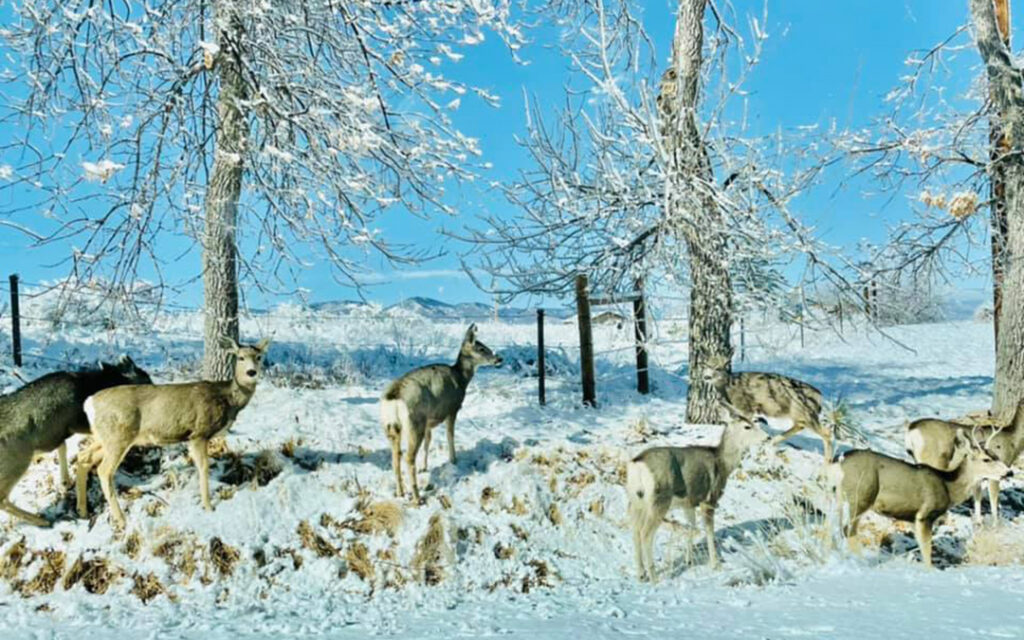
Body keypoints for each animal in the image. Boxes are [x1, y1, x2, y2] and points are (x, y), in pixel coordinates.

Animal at [0, 356, 151, 527]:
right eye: (146, 380)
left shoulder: (57, 432)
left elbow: (63, 446)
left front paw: (66, 481)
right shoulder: (82, 424)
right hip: (16, 461)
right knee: (2, 498)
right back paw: (42, 520)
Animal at [77, 337, 269, 529]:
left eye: (259, 357)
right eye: (240, 357)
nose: (252, 372)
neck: (228, 399)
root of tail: (89, 403)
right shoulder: (199, 433)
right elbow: (203, 467)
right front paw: (208, 506)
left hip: (104, 437)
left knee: (83, 457)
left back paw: (83, 511)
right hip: (118, 436)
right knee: (103, 470)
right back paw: (122, 520)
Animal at [380, 324, 503, 504]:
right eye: (481, 348)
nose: (499, 359)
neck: (461, 379)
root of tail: (394, 397)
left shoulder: (429, 421)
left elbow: (428, 443)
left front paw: (425, 467)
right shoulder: (452, 408)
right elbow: (450, 435)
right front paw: (453, 460)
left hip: (391, 426)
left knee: (395, 457)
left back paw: (400, 492)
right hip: (414, 422)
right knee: (408, 458)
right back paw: (417, 497)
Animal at [625, 407, 769, 582]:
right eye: (747, 426)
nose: (767, 437)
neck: (723, 464)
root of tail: (637, 464)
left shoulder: (689, 502)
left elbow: (691, 527)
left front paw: (689, 560)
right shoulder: (709, 499)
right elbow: (709, 531)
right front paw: (715, 564)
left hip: (636, 501)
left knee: (634, 530)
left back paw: (641, 573)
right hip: (659, 500)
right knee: (645, 533)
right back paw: (654, 577)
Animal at [827, 439, 1011, 567]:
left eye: (997, 456)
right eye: (986, 459)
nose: (1009, 472)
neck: (949, 487)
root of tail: (837, 462)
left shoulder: (913, 519)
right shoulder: (925, 514)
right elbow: (927, 549)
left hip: (838, 496)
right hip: (862, 495)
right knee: (848, 530)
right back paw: (861, 562)